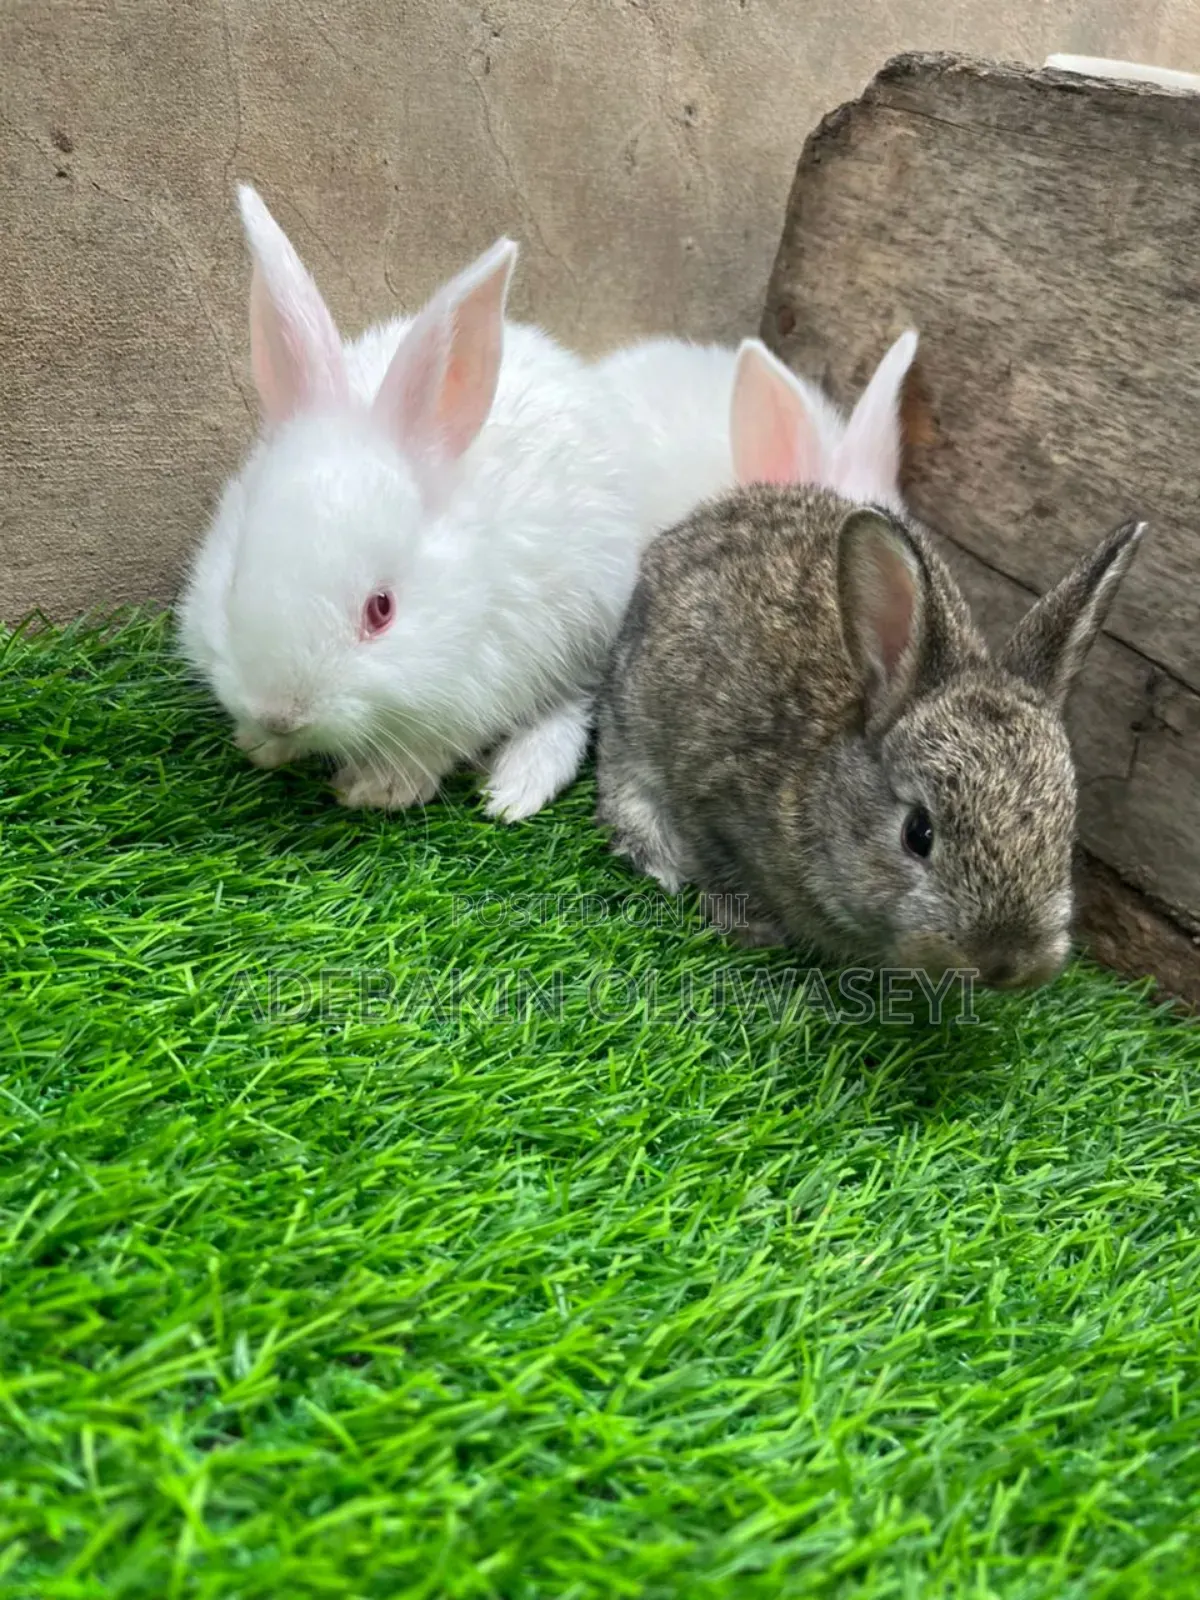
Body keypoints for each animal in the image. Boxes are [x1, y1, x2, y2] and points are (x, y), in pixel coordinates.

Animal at [177, 185, 642, 822]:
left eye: (382, 610)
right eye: (232, 583)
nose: (281, 713)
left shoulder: (479, 681)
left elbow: (433, 745)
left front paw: (377, 790)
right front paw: (260, 747)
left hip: (588, 624)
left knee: (569, 706)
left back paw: (515, 790)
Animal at [596, 464, 1144, 989]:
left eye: (1064, 837)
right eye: (918, 834)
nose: (1006, 964)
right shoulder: (708, 799)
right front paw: (751, 931)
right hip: (629, 720)